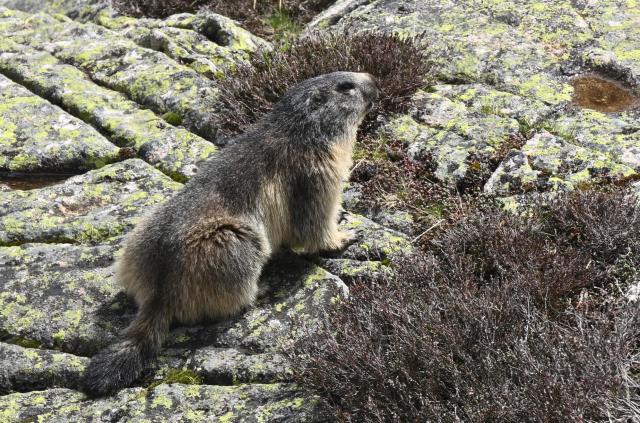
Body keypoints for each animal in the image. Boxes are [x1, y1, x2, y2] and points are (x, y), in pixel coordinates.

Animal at [81, 71, 378, 396]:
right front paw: (345, 235)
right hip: (233, 244)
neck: (302, 129)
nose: (373, 79)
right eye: (346, 87)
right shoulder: (317, 172)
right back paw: (259, 290)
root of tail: (158, 292)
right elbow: (315, 221)